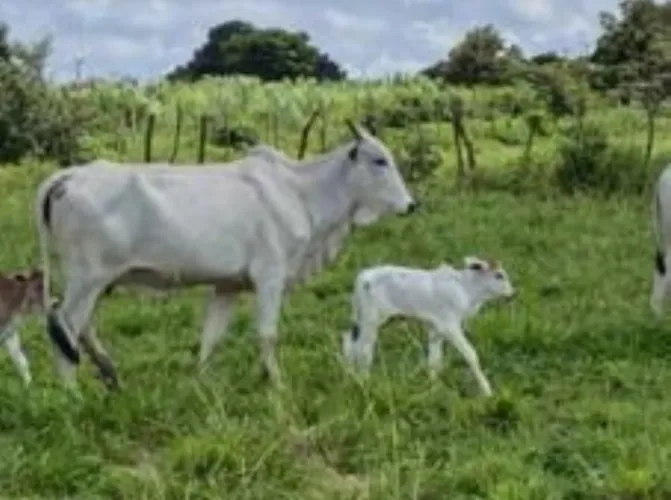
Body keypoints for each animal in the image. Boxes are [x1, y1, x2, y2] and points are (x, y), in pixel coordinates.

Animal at [36, 120, 417, 391]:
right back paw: (72, 393)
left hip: (96, 282)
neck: (300, 192)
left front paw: (202, 382)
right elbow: (267, 333)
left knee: (81, 329)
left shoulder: (227, 285)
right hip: (88, 278)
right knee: (65, 326)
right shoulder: (270, 276)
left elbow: (211, 336)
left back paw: (111, 374)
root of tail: (68, 175)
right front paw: (277, 384)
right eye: (379, 160)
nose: (412, 205)